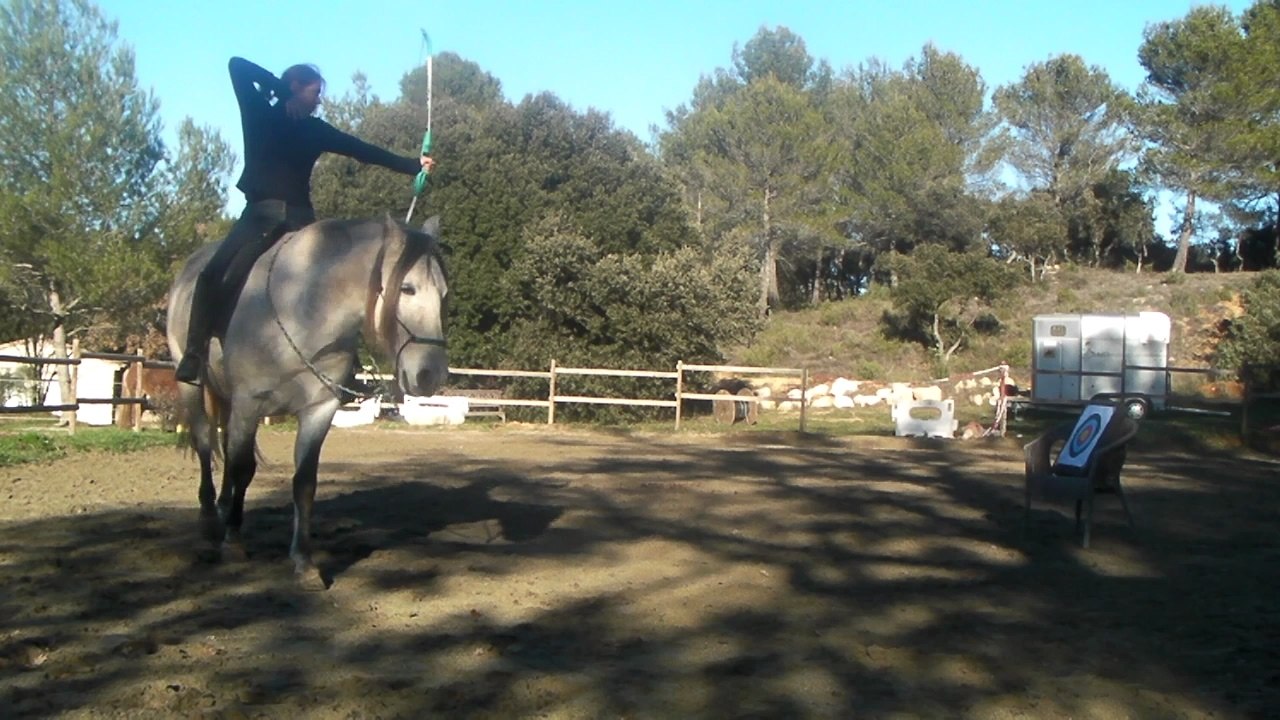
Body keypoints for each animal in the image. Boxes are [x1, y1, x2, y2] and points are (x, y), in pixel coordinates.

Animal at [166, 215, 448, 588]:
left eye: (443, 295)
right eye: (407, 288)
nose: (430, 375)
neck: (304, 310)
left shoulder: (318, 410)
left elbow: (304, 482)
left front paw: (304, 562)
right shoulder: (249, 403)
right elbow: (243, 469)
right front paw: (234, 543)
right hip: (193, 386)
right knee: (203, 443)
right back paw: (212, 522)